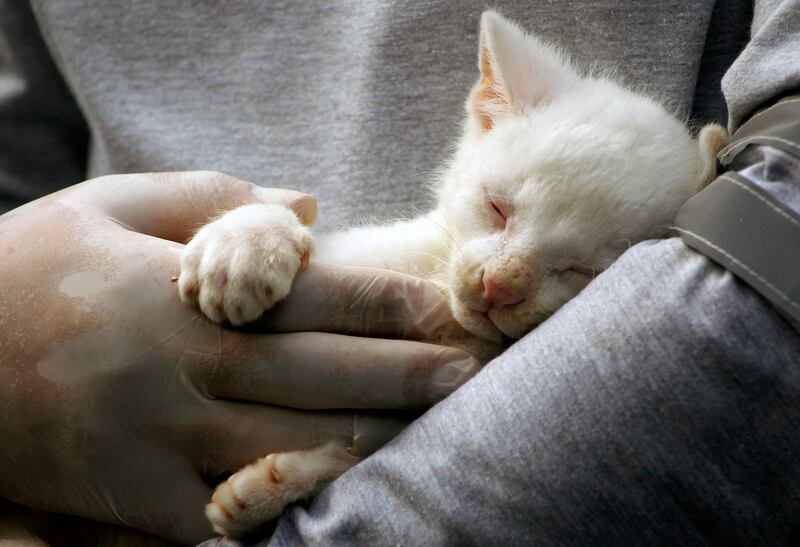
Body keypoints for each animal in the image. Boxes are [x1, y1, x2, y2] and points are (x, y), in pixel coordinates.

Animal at [178, 10, 728, 536]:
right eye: (498, 208)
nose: (497, 284)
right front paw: (246, 242)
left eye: (580, 270)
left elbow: (359, 458)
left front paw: (268, 489)